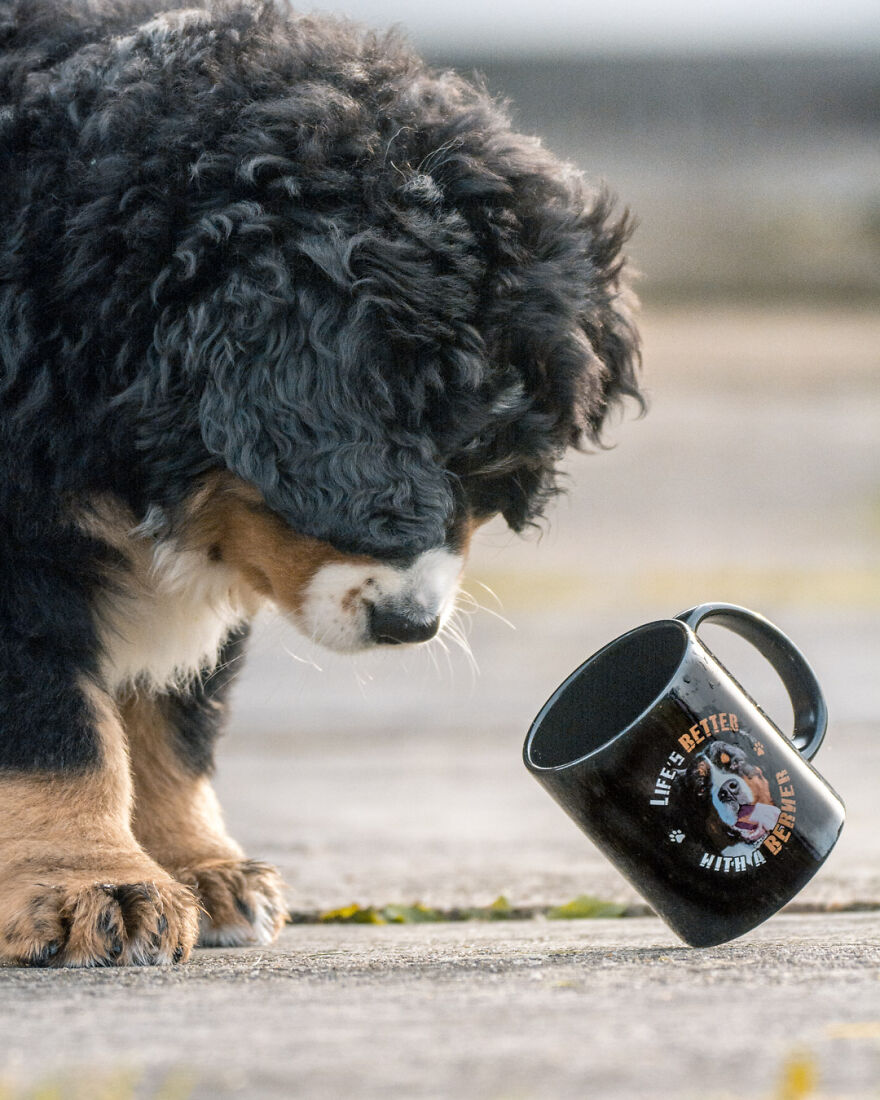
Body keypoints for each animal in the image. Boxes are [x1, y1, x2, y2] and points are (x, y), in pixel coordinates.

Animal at [0, 0, 638, 963]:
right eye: (380, 467)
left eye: (487, 478)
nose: (411, 626)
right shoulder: (19, 550)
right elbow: (56, 726)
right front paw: (90, 885)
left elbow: (172, 721)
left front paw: (200, 869)